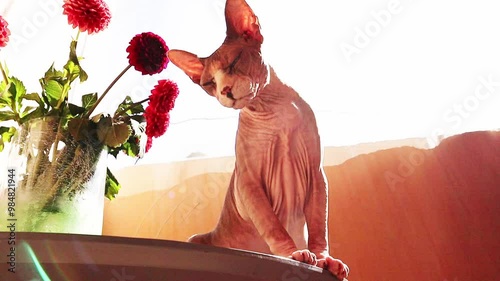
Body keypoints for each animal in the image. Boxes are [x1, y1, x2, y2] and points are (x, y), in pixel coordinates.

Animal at [167, 0, 348, 278]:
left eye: (234, 62)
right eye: (209, 83)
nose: (224, 91)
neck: (274, 112)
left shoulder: (317, 174)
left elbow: (320, 227)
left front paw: (324, 259)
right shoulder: (248, 181)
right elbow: (273, 226)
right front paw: (294, 254)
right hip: (194, 238)